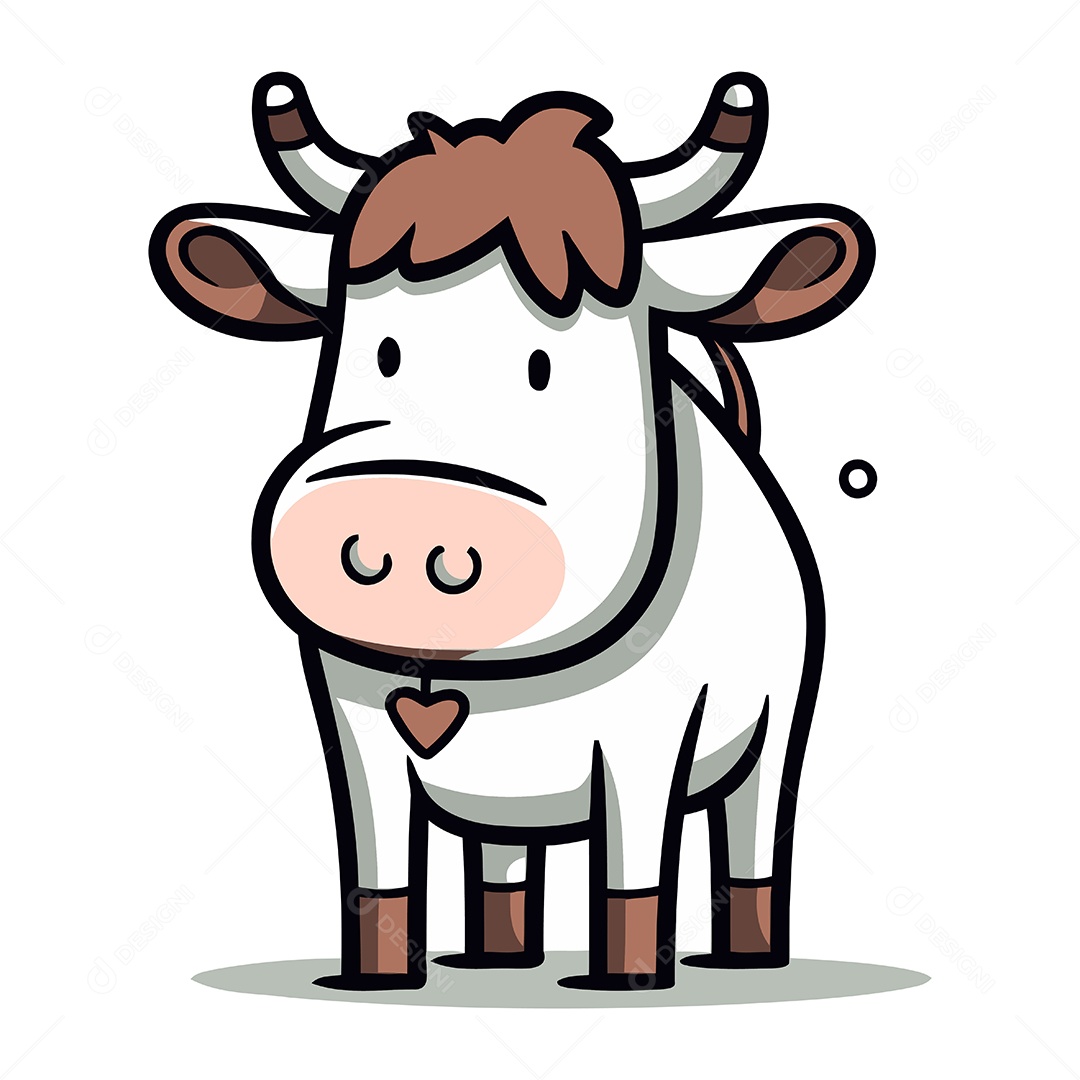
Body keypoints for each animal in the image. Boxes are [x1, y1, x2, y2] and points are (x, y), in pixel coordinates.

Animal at [149, 70, 874, 992]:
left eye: (544, 364)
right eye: (378, 350)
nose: (399, 516)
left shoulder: (648, 738)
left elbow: (631, 874)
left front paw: (624, 983)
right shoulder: (348, 720)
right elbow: (378, 868)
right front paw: (378, 978)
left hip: (781, 716)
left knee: (752, 828)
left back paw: (742, 958)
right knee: (501, 855)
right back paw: (493, 959)